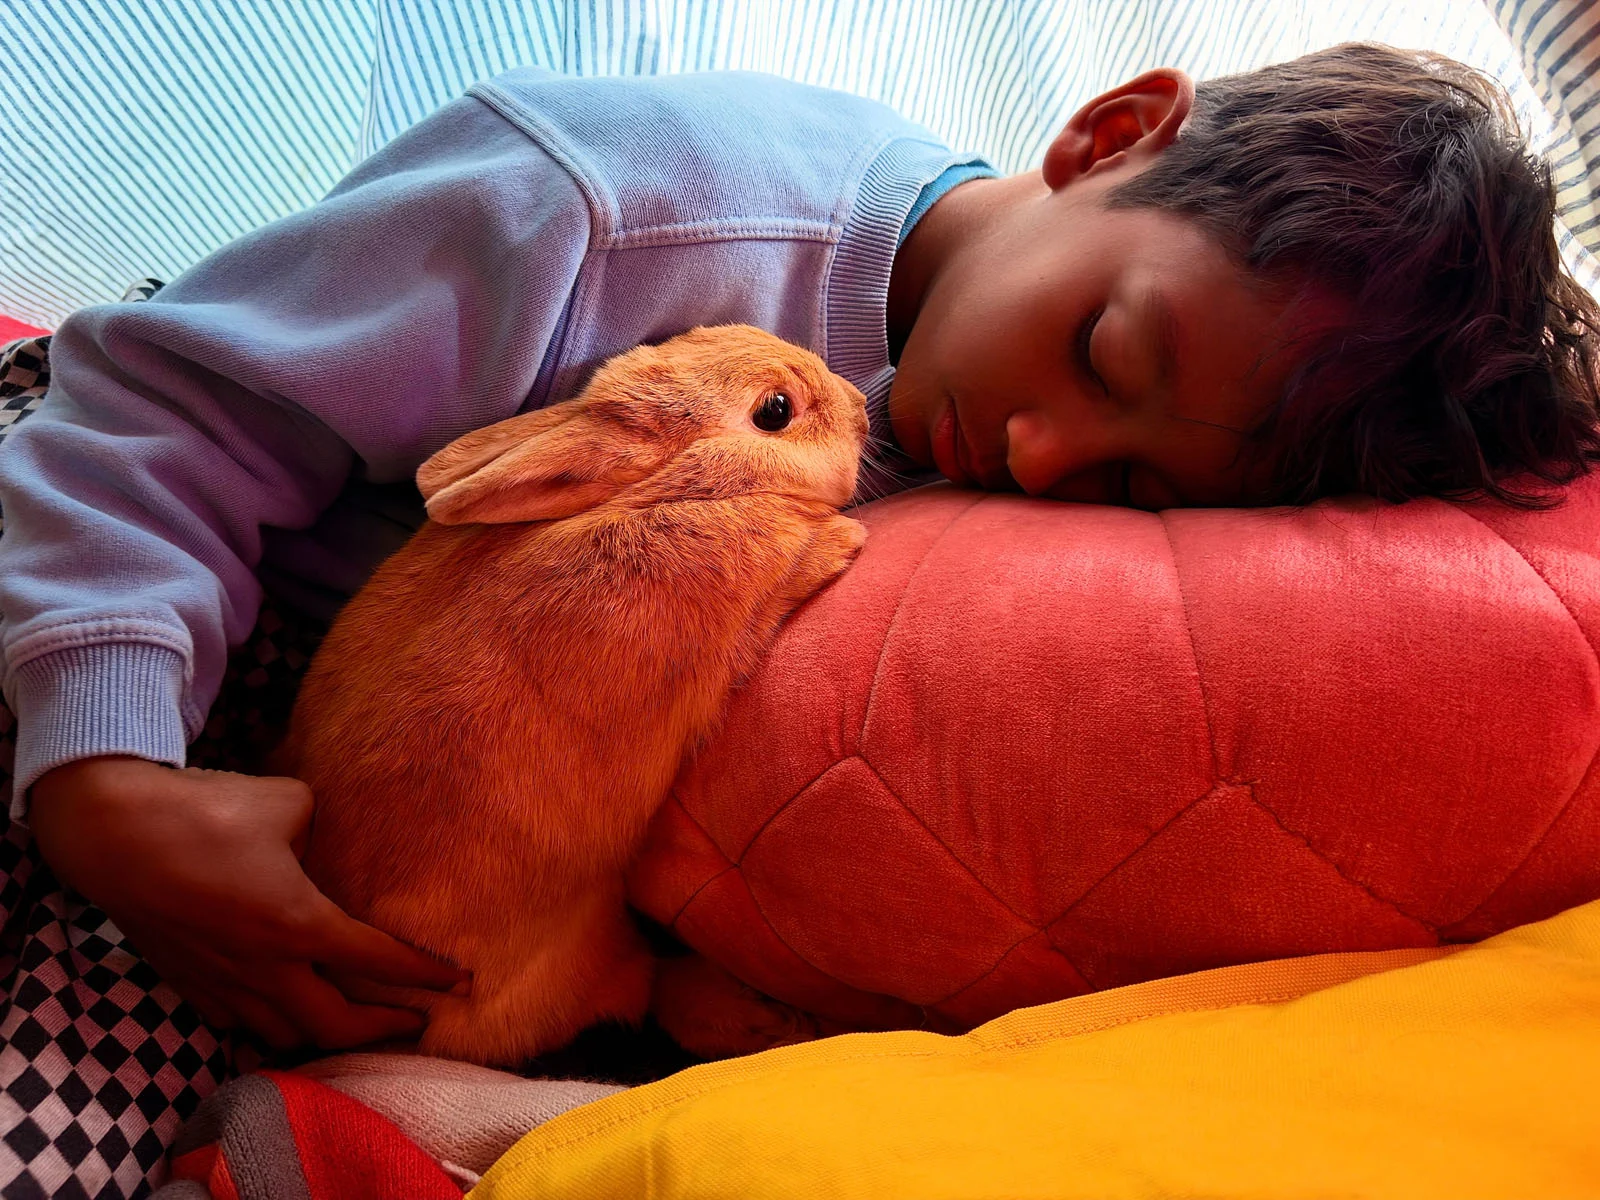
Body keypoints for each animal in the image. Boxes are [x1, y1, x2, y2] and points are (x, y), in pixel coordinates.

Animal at [275, 324, 870, 1068]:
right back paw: (767, 1022)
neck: (665, 493)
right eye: (775, 411)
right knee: (647, 988)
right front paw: (842, 540)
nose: (862, 410)